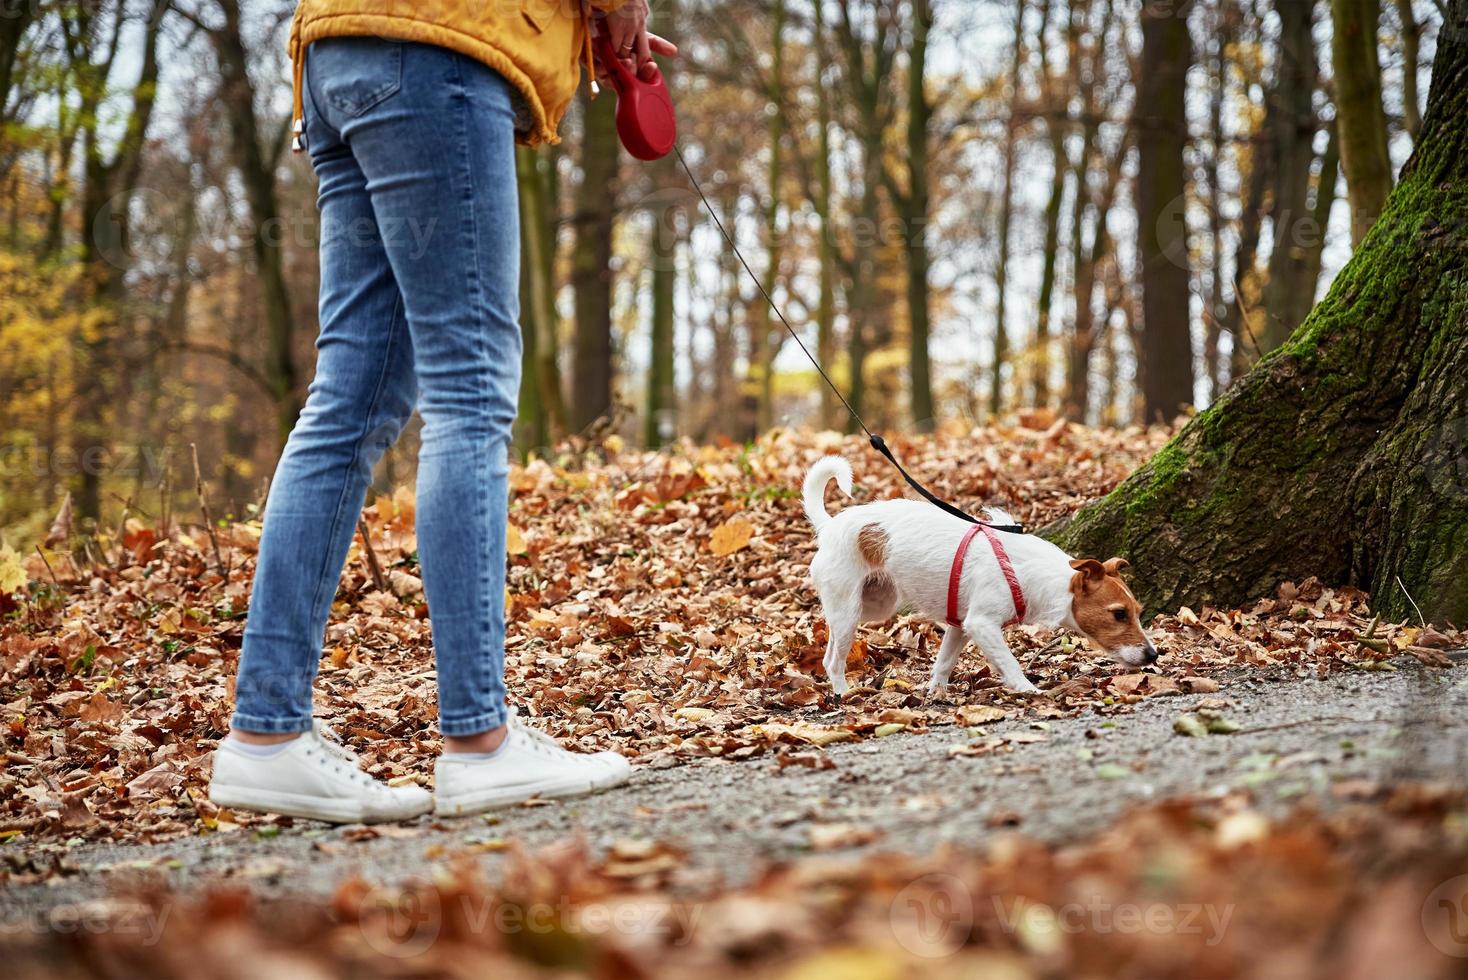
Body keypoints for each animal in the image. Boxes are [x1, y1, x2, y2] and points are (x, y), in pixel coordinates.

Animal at [804, 460, 1156, 695]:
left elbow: (944, 663)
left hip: (876, 605)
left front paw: (936, 693)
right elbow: (1009, 662)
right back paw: (842, 693)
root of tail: (830, 526)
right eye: (1119, 614)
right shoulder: (982, 624)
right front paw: (1028, 690)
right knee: (832, 660)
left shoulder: (959, 627)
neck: (1031, 571)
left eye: (1138, 612)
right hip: (848, 611)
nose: (1153, 655)